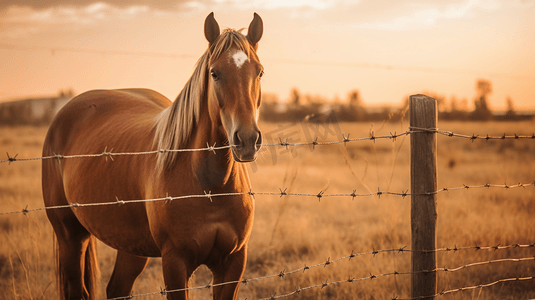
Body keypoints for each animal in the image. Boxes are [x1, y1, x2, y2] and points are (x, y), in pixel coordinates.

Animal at [42, 12, 264, 300]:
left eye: (259, 72)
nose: (247, 140)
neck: (211, 187)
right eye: (214, 73)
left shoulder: (233, 263)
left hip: (129, 244)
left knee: (117, 288)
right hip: (70, 236)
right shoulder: (175, 262)